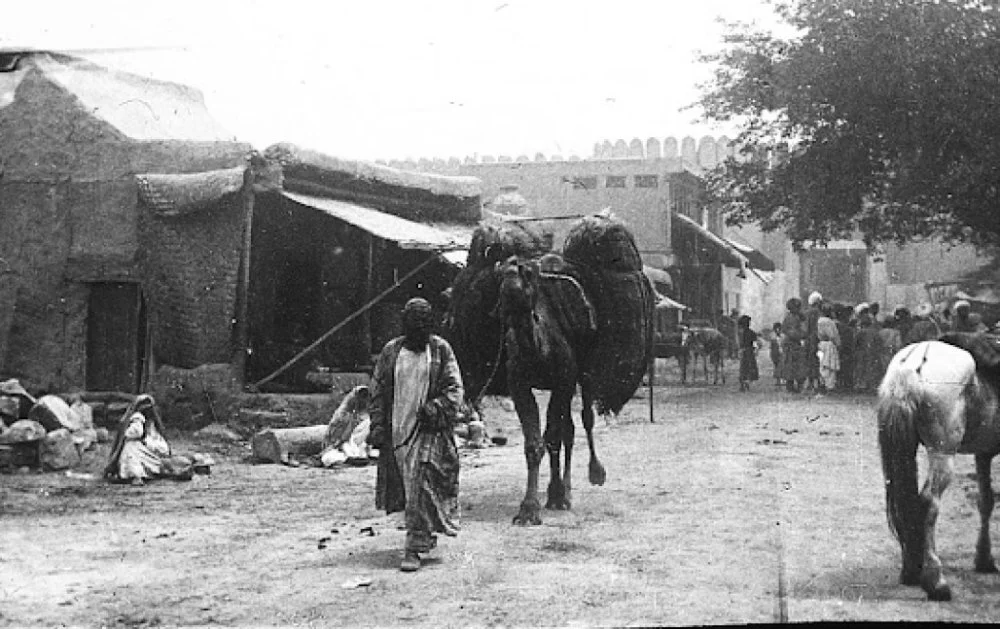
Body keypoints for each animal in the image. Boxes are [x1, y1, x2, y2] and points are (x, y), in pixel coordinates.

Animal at [876, 336, 1000, 600]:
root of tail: (911, 365)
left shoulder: (983, 453)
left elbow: (986, 501)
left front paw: (984, 559)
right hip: (943, 455)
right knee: (928, 502)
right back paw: (936, 582)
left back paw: (911, 571)